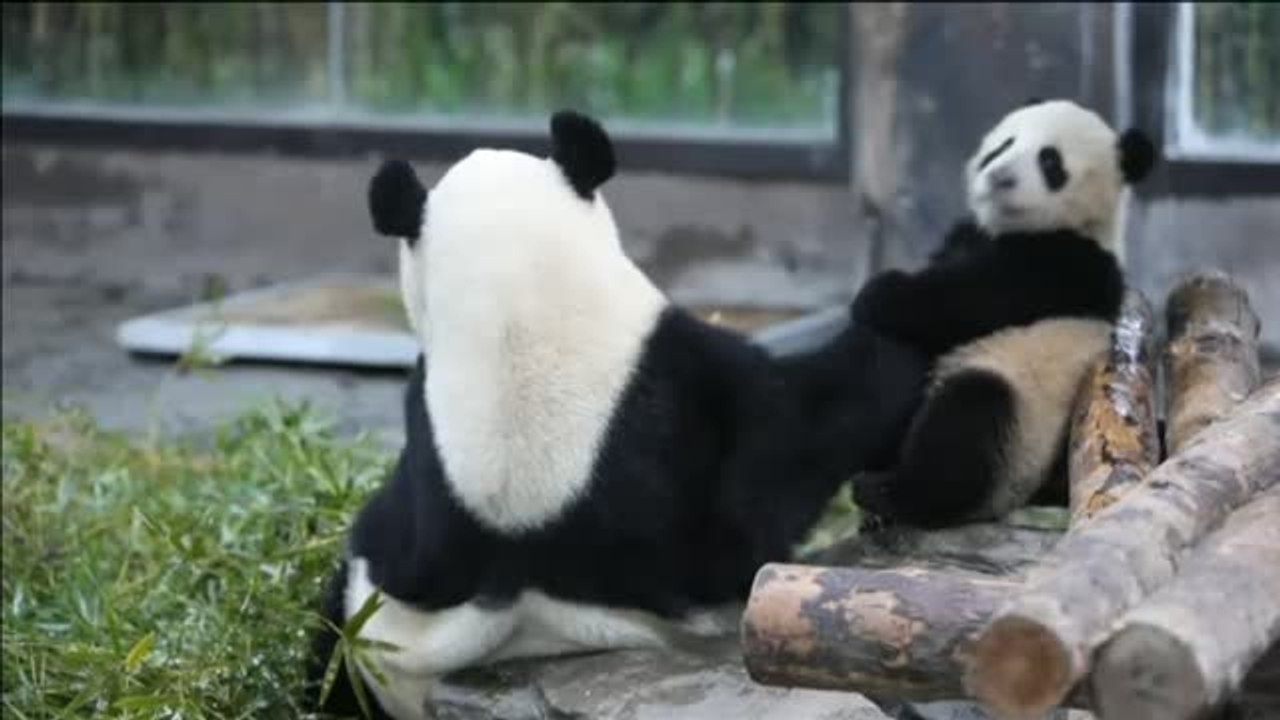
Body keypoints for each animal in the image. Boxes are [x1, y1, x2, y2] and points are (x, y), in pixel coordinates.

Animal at [849, 98, 1158, 529]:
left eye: (1050, 162)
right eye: (1004, 144)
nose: (997, 177)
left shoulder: (1065, 267)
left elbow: (966, 299)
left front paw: (875, 294)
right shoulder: (971, 234)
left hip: (1018, 433)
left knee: (968, 418)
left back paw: (889, 493)